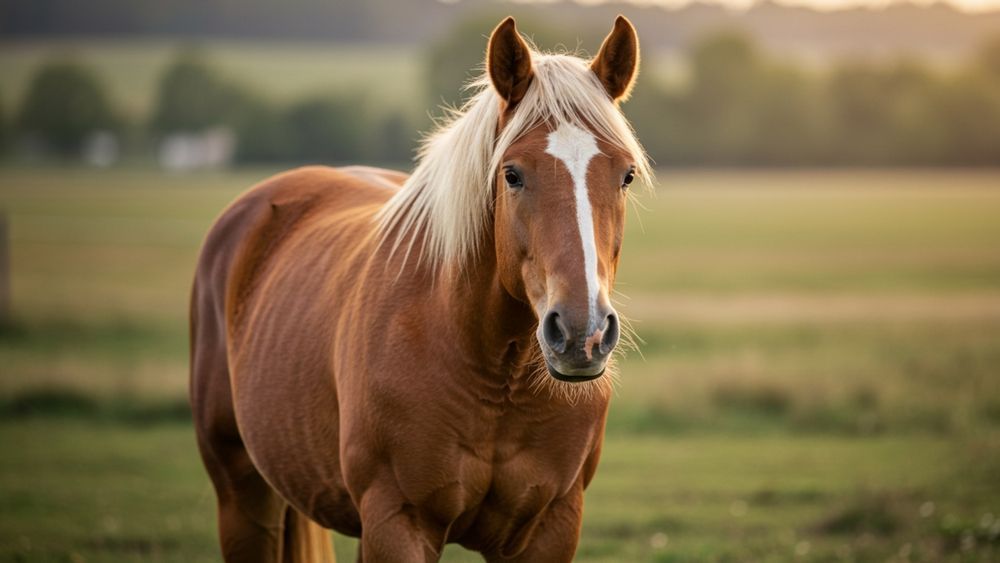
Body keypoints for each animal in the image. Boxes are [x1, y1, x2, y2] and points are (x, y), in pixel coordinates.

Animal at [190, 15, 650, 562]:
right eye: (512, 174)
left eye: (625, 175)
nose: (583, 333)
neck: (496, 374)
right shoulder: (398, 522)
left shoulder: (550, 527)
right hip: (243, 498)